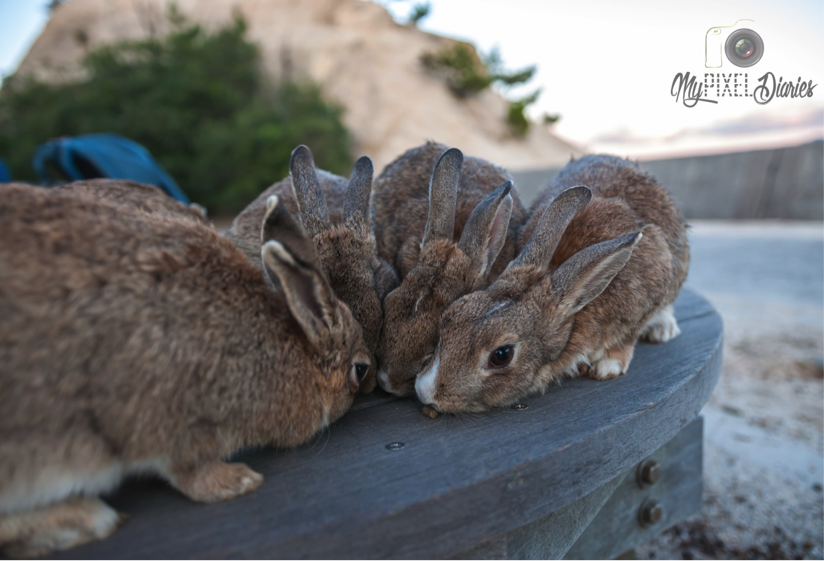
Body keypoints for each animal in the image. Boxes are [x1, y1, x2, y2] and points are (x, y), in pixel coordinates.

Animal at [0, 184, 368, 556]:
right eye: (360, 370)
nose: (361, 389)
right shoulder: (171, 422)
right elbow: (189, 472)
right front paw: (239, 481)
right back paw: (88, 518)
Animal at [416, 153, 692, 412]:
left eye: (501, 356)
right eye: (450, 317)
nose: (425, 392)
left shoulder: (644, 299)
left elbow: (627, 339)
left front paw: (607, 367)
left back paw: (663, 330)